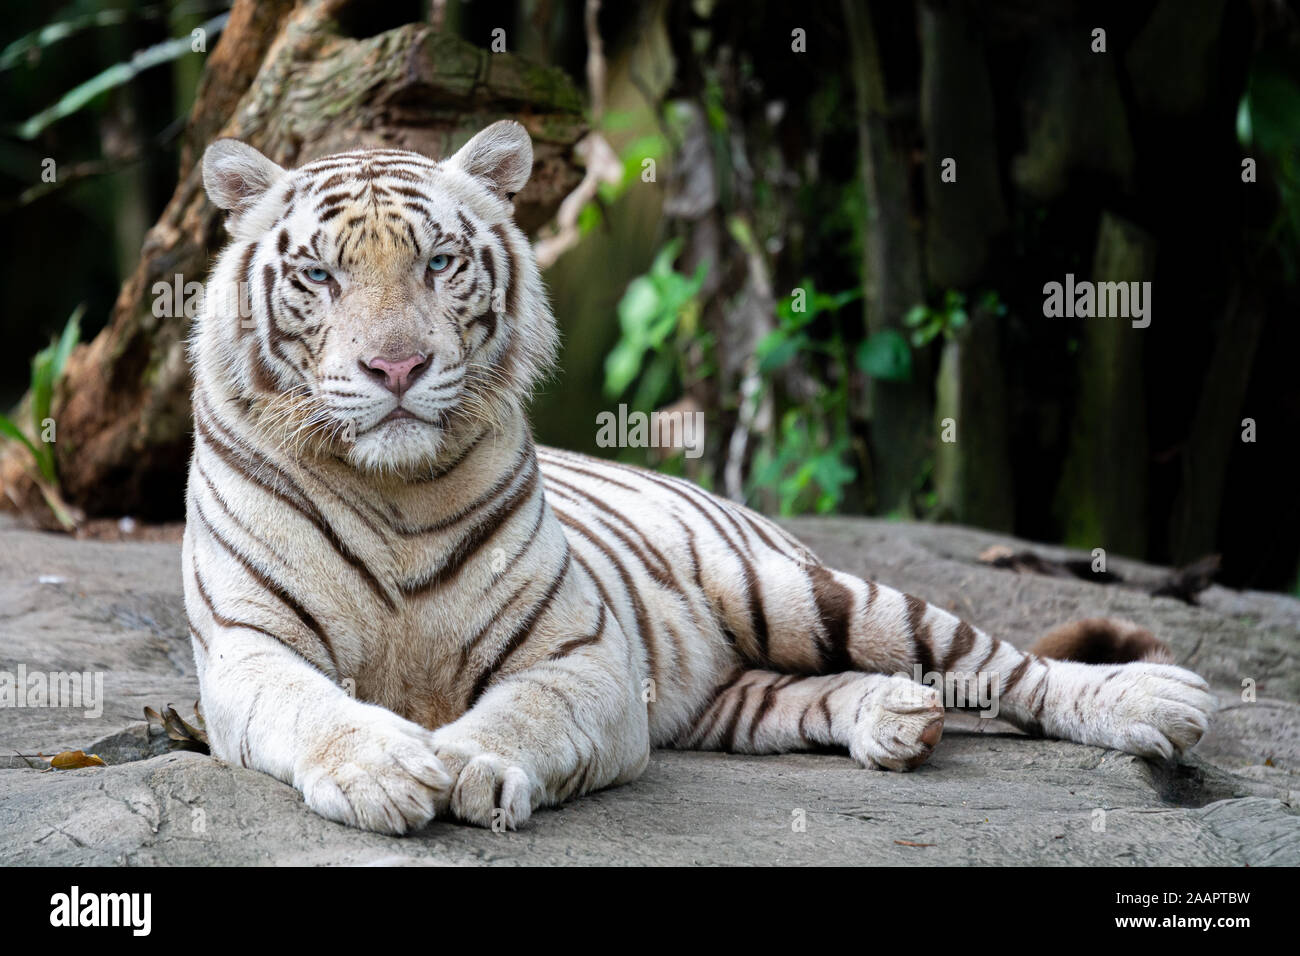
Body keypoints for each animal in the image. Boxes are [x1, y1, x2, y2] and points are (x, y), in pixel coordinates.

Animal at [185, 119, 1216, 832]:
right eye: (320, 276)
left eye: (439, 263)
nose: (395, 368)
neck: (394, 487)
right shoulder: (247, 646)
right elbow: (310, 706)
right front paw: (386, 770)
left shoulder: (581, 649)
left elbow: (525, 710)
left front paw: (471, 764)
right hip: (733, 691)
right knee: (808, 693)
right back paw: (896, 718)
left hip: (797, 591)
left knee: (997, 662)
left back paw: (1156, 701)